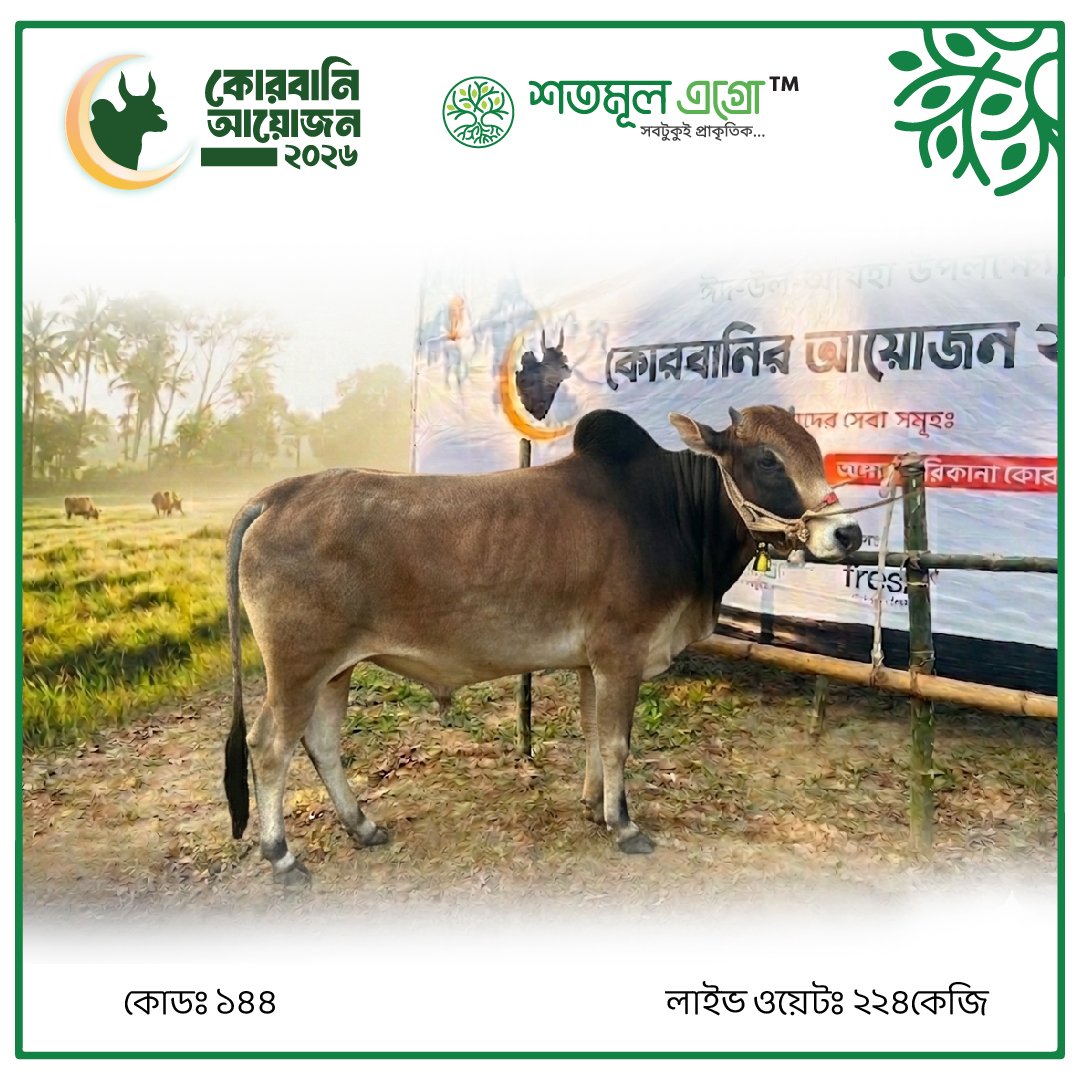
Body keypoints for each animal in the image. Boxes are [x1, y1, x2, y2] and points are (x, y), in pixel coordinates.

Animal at [224, 406, 862, 886]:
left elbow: (594, 736)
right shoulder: (622, 654)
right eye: (767, 460)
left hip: (336, 670)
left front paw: (593, 805)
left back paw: (362, 826)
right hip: (298, 668)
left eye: (814, 449)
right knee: (270, 747)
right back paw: (282, 856)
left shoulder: (591, 662)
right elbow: (617, 744)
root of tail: (278, 494)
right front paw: (624, 824)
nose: (848, 533)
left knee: (323, 743)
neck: (671, 513)